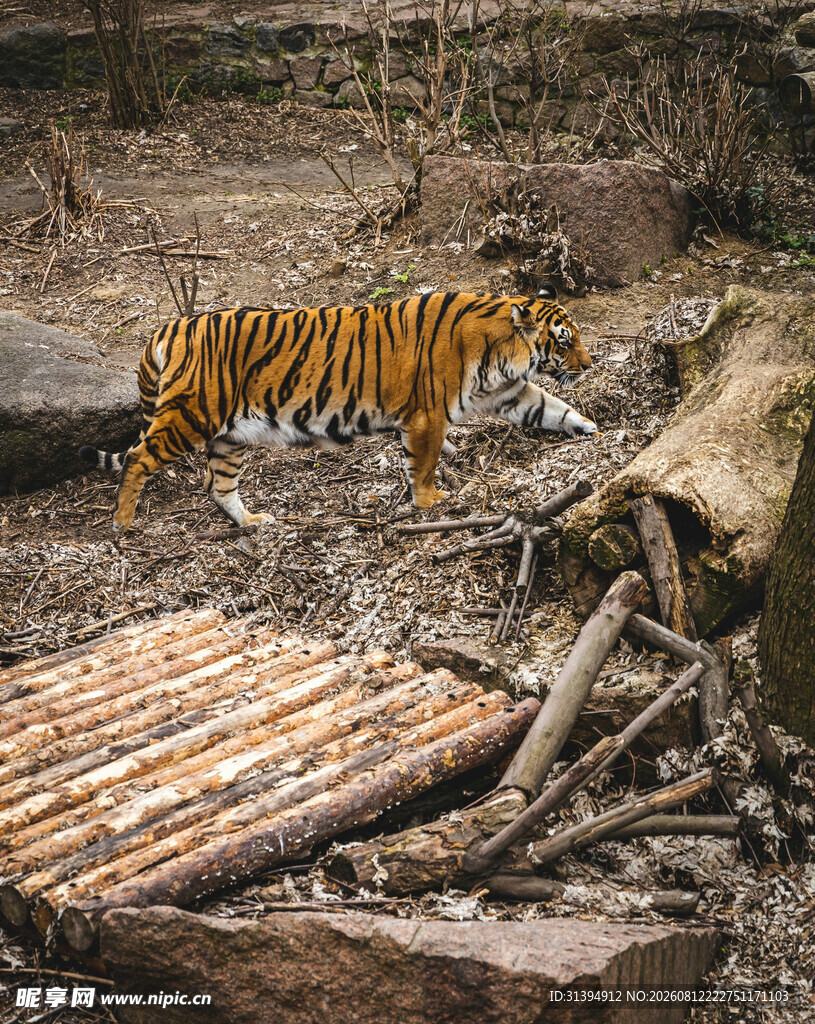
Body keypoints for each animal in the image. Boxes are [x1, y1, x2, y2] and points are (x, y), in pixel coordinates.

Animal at [79, 286, 597, 532]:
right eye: (564, 342)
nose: (590, 364)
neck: (501, 352)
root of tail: (169, 327)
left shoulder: (509, 393)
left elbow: (552, 408)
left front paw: (591, 428)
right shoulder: (426, 416)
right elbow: (424, 464)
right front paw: (432, 503)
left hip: (230, 436)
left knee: (217, 485)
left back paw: (252, 523)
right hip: (191, 415)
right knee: (140, 457)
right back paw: (121, 524)